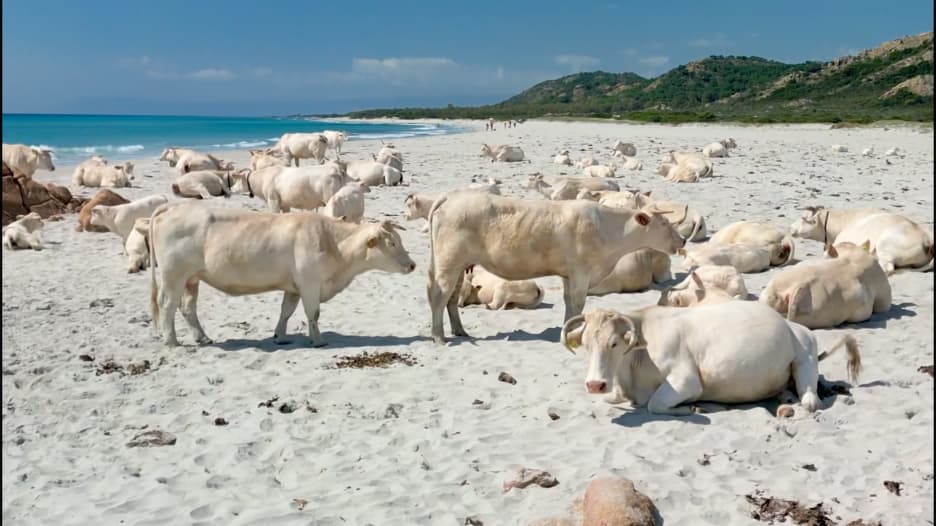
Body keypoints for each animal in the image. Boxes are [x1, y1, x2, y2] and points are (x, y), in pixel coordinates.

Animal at [148, 204, 414, 348]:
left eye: (399, 239)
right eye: (391, 243)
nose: (412, 265)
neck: (333, 242)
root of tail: (172, 207)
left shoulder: (294, 287)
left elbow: (286, 311)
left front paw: (280, 336)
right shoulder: (310, 284)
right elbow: (313, 313)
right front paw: (318, 340)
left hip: (191, 279)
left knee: (187, 308)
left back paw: (202, 337)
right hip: (173, 276)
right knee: (167, 305)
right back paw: (171, 341)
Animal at [428, 192, 684, 344]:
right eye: (664, 223)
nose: (682, 240)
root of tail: (452, 196)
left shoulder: (569, 274)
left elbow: (569, 301)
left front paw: (568, 329)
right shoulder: (581, 272)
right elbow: (578, 302)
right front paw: (576, 332)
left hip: (458, 265)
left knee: (452, 298)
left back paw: (459, 331)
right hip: (448, 262)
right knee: (439, 296)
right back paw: (439, 337)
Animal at [564, 306, 864, 416]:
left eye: (614, 343)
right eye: (586, 344)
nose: (594, 384)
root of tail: (795, 326)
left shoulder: (686, 381)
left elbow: (655, 405)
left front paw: (691, 408)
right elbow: (613, 399)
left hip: (804, 358)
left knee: (811, 401)